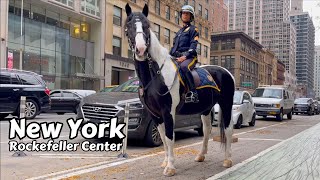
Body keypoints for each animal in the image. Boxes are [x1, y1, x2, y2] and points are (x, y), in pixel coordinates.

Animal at [124, 3, 235, 176]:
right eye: (129, 25)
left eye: (147, 25)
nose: (141, 49)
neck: (156, 75)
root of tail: (226, 72)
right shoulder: (154, 114)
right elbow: (163, 137)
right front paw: (165, 162)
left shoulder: (167, 111)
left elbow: (170, 137)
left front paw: (170, 167)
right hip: (205, 109)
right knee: (207, 130)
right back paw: (201, 155)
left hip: (226, 104)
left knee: (228, 129)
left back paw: (227, 160)